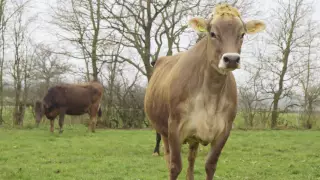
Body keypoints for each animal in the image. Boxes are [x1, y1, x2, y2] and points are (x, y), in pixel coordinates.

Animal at [144, 3, 264, 179]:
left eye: (242, 34)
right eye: (212, 33)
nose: (232, 59)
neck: (211, 93)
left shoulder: (224, 130)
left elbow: (210, 165)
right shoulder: (174, 127)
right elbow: (175, 166)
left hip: (193, 136)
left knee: (191, 159)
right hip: (163, 129)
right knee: (167, 155)